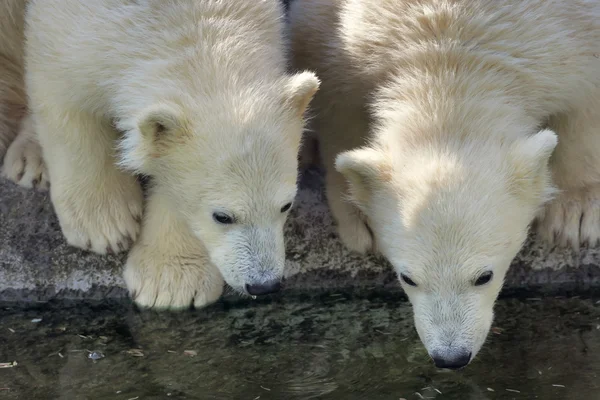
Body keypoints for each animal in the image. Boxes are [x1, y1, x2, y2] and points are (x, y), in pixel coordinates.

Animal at [24, 0, 318, 310]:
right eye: (222, 216)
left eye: (286, 205)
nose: (264, 285)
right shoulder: (67, 28)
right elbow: (65, 100)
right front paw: (106, 227)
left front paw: (171, 282)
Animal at [288, 0, 596, 368]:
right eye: (407, 277)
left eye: (484, 276)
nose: (451, 357)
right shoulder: (338, 34)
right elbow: (336, 106)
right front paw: (359, 216)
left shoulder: (570, 27)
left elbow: (583, 104)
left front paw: (573, 216)